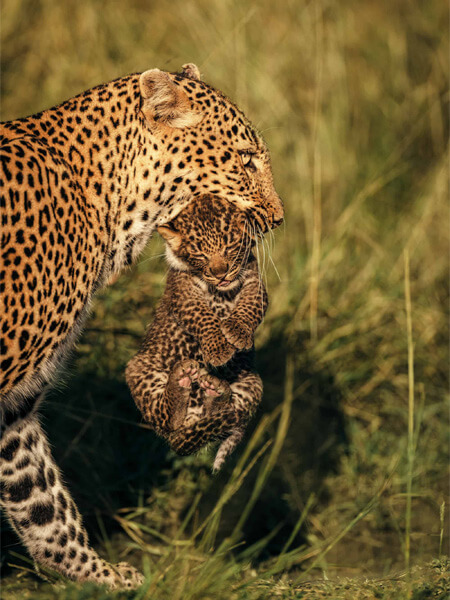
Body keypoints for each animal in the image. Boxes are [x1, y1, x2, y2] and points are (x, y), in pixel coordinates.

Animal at [125, 196, 268, 474]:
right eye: (201, 254)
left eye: (229, 247)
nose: (220, 273)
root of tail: (192, 417)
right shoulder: (183, 294)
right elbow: (203, 316)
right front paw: (219, 347)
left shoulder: (256, 284)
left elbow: (251, 307)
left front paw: (236, 331)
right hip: (140, 369)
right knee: (168, 417)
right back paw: (180, 383)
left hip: (253, 384)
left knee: (218, 416)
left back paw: (215, 392)